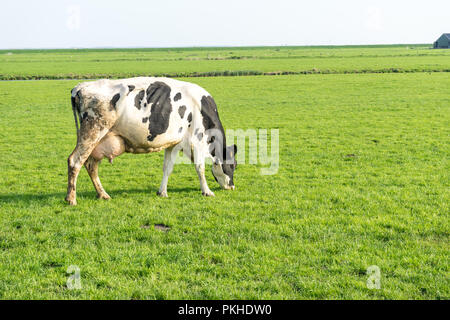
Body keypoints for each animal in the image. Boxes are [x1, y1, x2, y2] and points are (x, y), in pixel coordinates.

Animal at [66, 79, 239, 206]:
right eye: (232, 165)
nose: (232, 186)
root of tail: (81, 86)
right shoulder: (197, 140)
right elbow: (200, 168)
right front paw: (207, 191)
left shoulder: (173, 144)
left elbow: (167, 168)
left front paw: (162, 192)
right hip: (92, 131)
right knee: (75, 161)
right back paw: (71, 199)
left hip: (98, 141)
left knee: (90, 165)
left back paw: (103, 194)